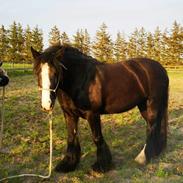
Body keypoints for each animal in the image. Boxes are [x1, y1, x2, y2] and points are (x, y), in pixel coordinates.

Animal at [30, 45, 169, 172]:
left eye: (56, 73)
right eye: (37, 73)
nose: (46, 104)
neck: (81, 79)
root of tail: (161, 68)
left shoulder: (92, 114)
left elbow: (97, 138)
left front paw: (102, 166)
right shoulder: (69, 114)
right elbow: (71, 137)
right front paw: (68, 164)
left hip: (152, 103)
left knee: (152, 127)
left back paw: (143, 158)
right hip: (143, 105)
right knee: (152, 126)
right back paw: (154, 152)